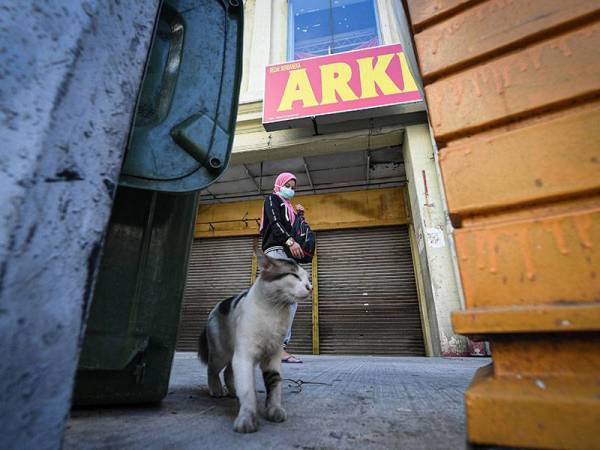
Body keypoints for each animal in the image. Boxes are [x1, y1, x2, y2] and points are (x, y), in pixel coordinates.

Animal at [198, 251, 312, 430]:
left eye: (307, 278)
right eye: (294, 275)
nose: (310, 287)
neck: (274, 311)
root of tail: (216, 306)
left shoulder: (273, 357)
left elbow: (274, 385)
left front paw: (274, 410)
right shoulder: (244, 355)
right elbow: (247, 389)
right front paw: (247, 418)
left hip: (232, 355)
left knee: (228, 373)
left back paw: (233, 391)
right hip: (220, 354)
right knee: (212, 369)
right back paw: (216, 389)